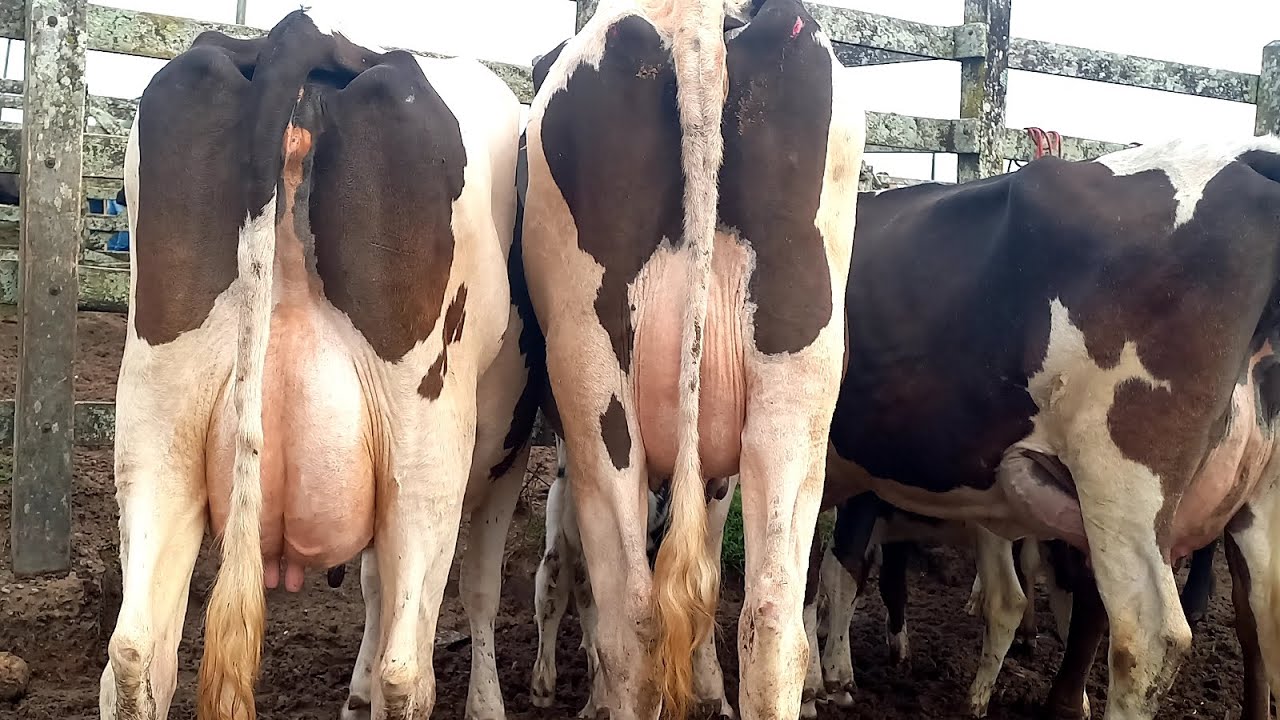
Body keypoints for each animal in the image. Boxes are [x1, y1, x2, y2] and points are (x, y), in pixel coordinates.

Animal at [99, 10, 535, 720]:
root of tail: (304, 33)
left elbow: (375, 583)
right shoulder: (505, 455)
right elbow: (476, 591)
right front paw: (485, 703)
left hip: (155, 421)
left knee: (136, 652)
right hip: (428, 446)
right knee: (406, 670)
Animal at [521, 0, 867, 716]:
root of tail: (698, 18)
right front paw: (710, 693)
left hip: (596, 398)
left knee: (632, 612)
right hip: (795, 400)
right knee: (769, 619)